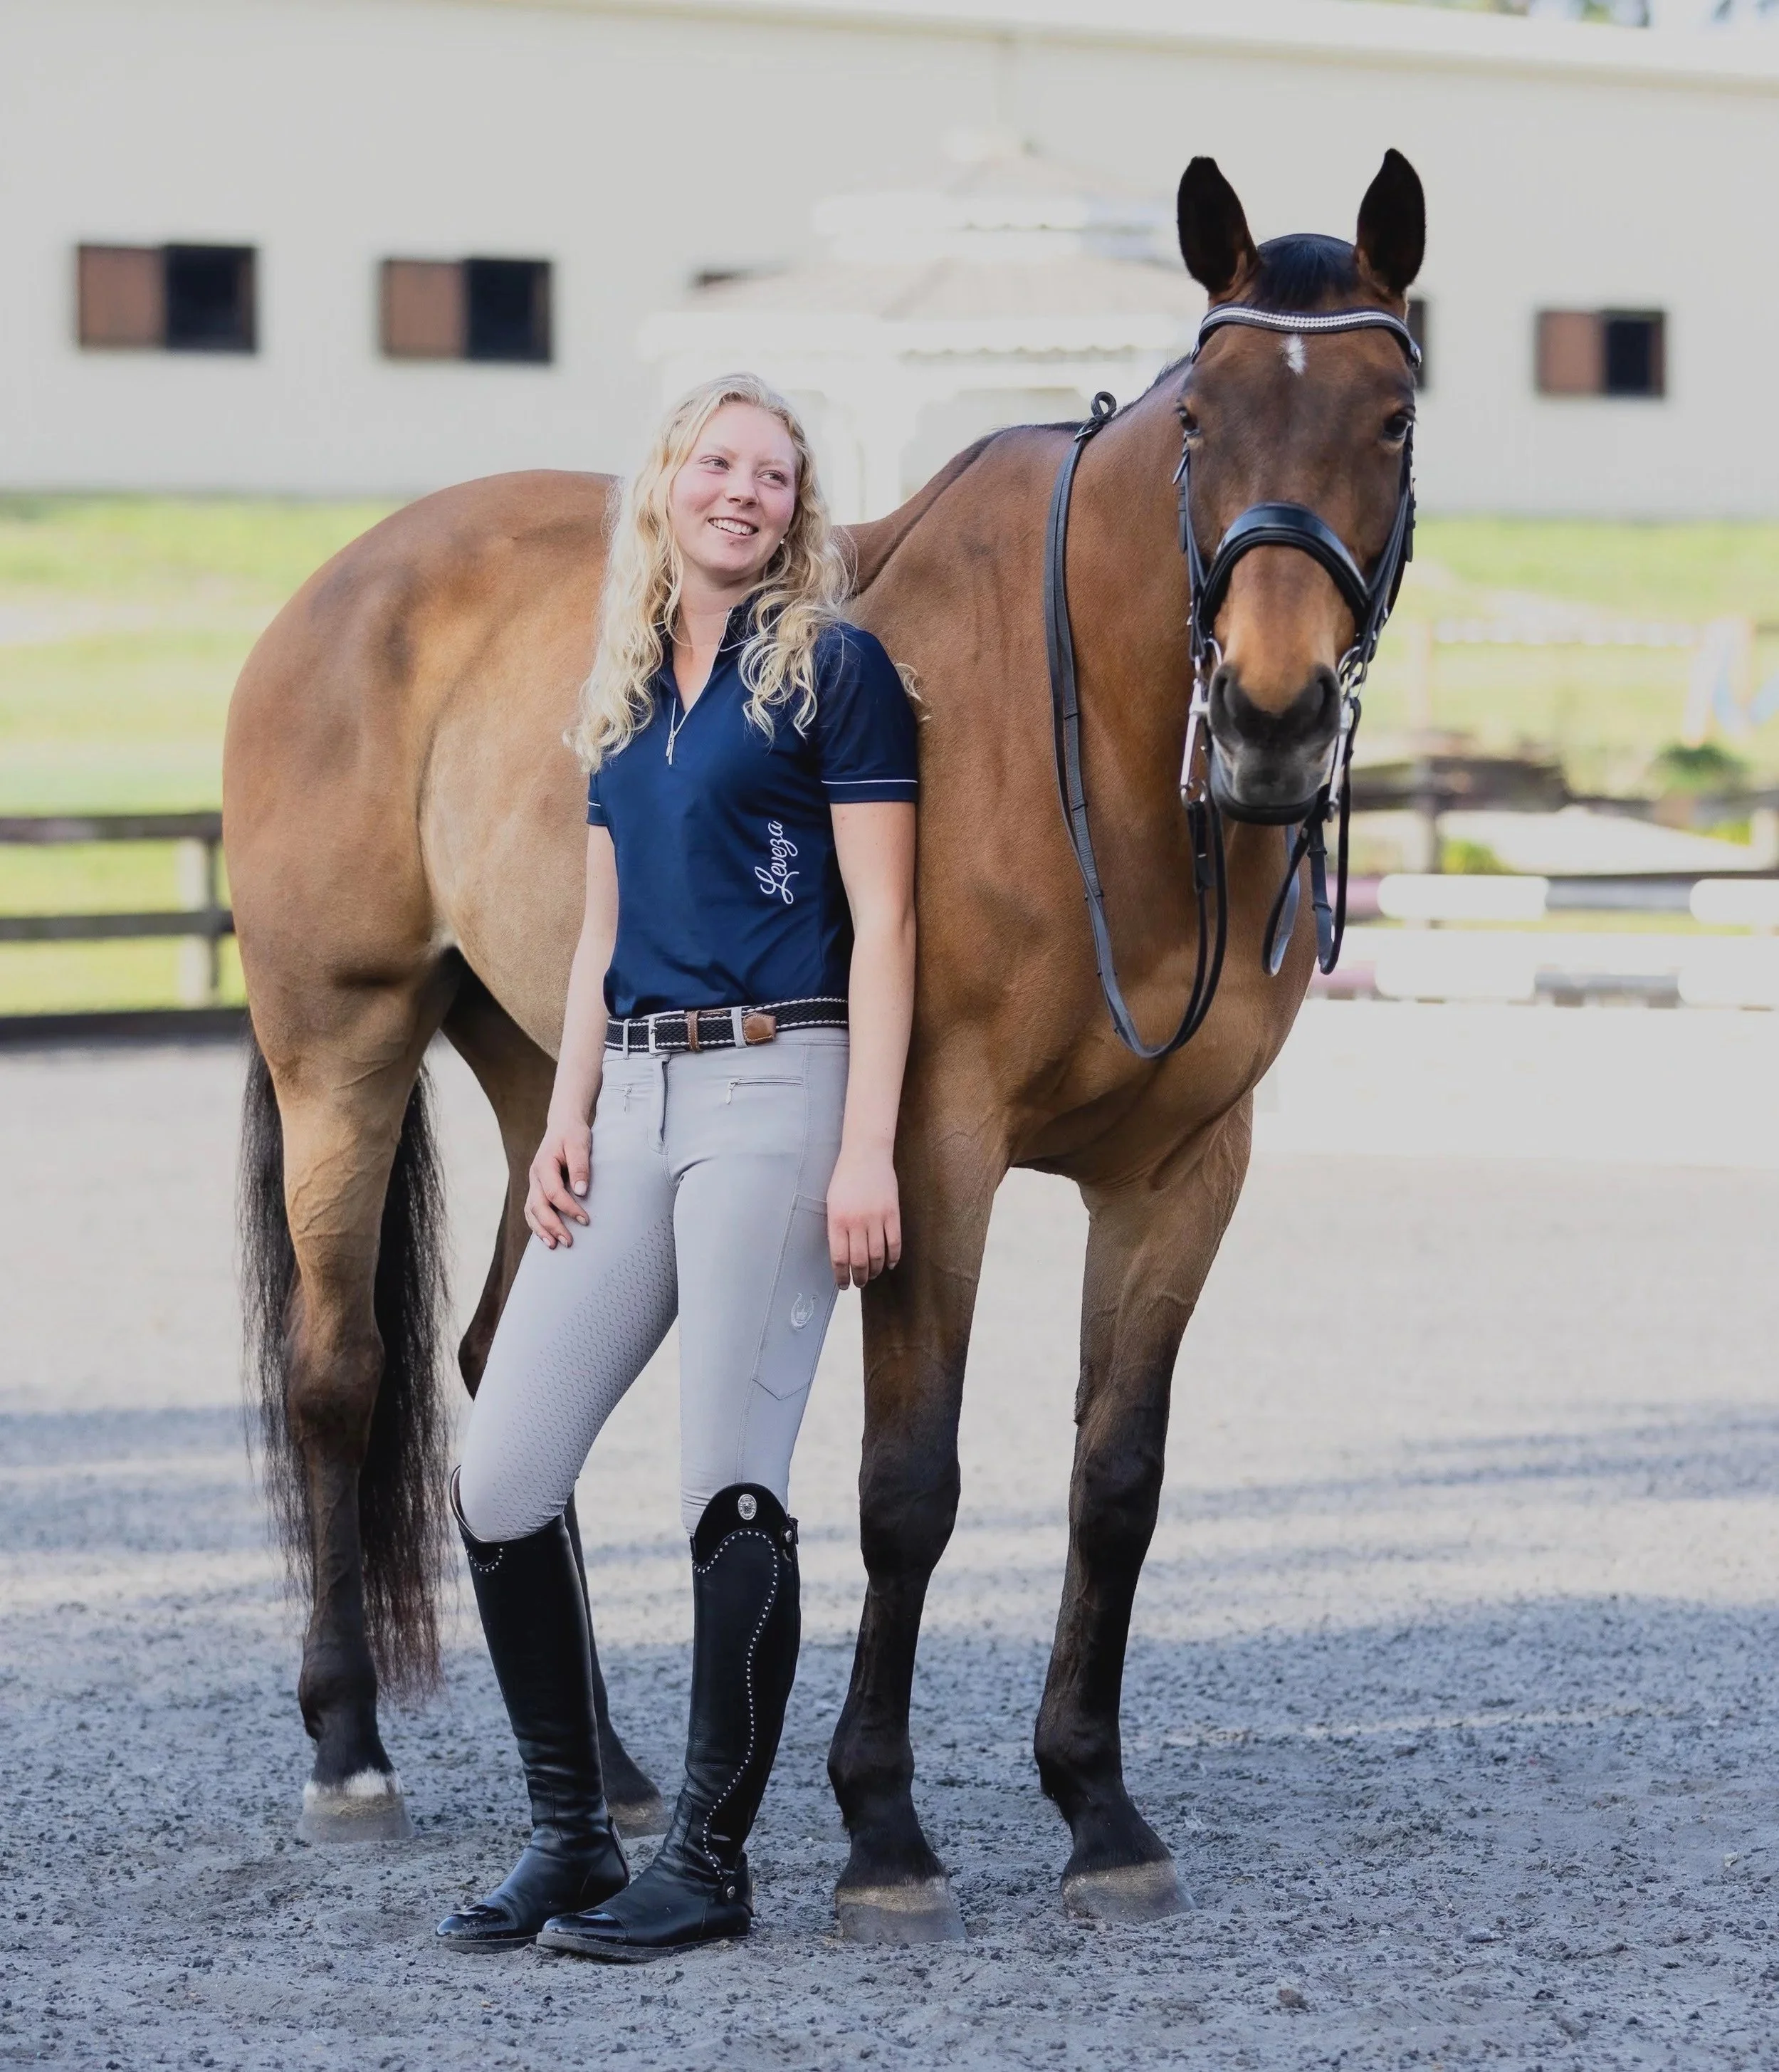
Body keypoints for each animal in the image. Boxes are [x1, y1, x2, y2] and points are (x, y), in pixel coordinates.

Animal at [226, 150, 1424, 1938]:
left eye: (1392, 418)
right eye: (1204, 418)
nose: (1270, 718)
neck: (1092, 739)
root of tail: (341, 585)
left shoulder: (1185, 1173)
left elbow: (1116, 1481)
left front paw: (1097, 1805)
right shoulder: (930, 1145)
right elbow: (907, 1484)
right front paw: (883, 1827)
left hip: (552, 1084)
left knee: (507, 1371)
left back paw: (613, 1765)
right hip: (340, 1046)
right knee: (338, 1373)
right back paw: (347, 1751)